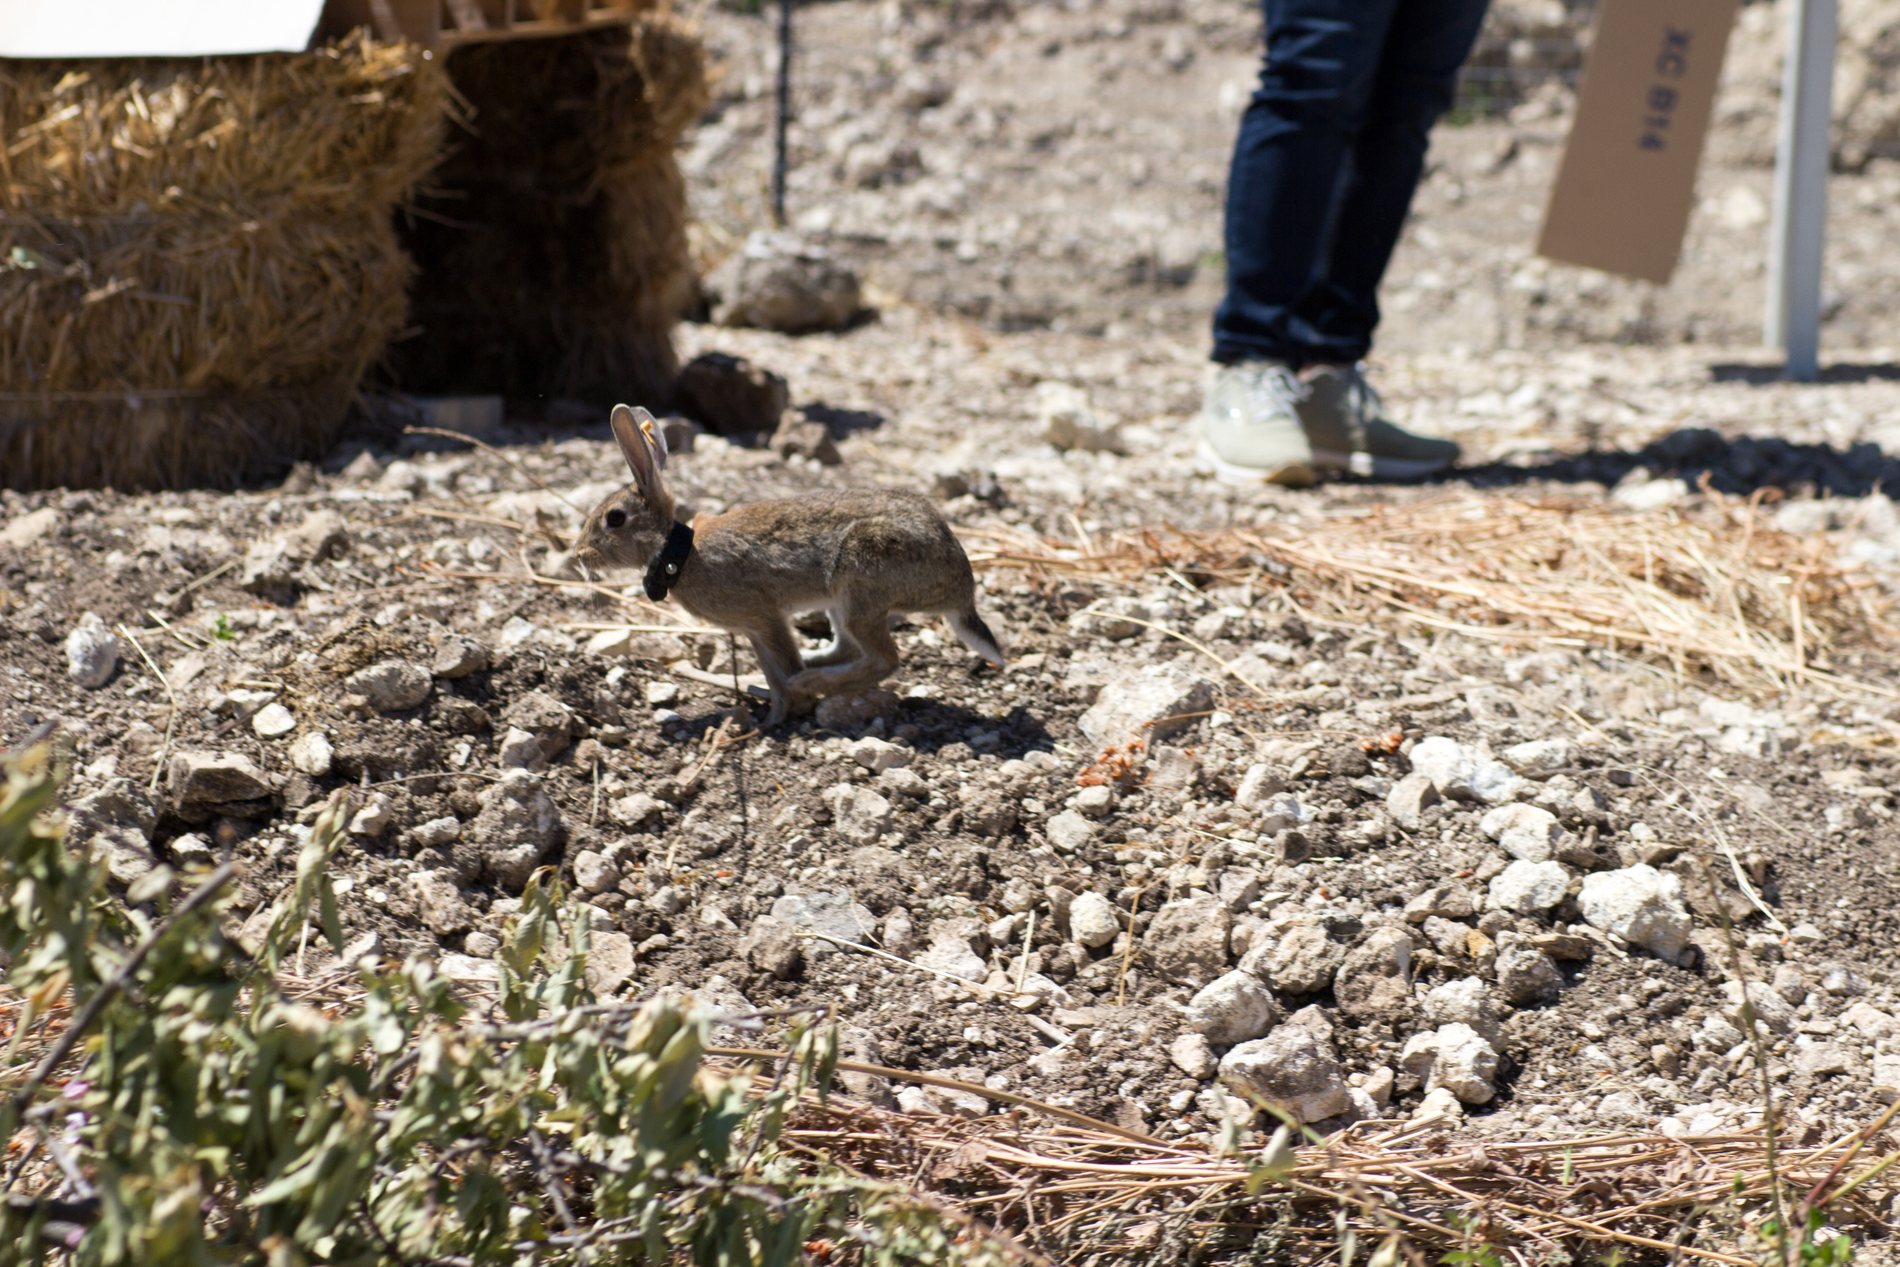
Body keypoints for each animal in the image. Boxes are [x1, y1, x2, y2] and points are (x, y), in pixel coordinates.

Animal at [575, 404, 1006, 728]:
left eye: (614, 518)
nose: (580, 554)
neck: (677, 552)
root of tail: (961, 590)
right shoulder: (753, 629)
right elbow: (772, 672)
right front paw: (773, 712)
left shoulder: (765, 617)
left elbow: (781, 666)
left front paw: (784, 711)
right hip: (842, 605)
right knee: (847, 647)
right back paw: (809, 669)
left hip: (862, 580)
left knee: (883, 659)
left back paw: (810, 679)